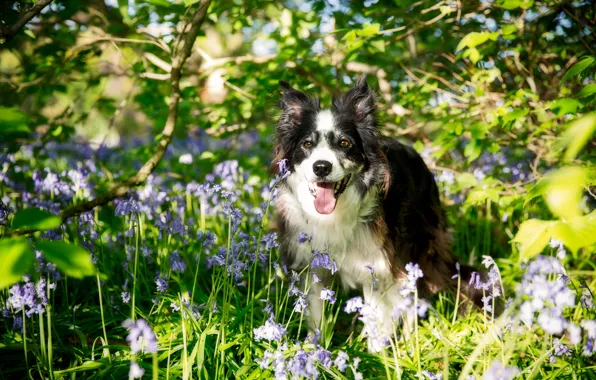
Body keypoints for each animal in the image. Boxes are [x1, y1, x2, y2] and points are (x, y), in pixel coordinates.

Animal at [272, 74, 482, 350]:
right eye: (307, 144)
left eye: (345, 143)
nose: (321, 167)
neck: (335, 215)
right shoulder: (311, 264)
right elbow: (316, 315)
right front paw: (313, 349)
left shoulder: (378, 266)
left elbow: (377, 315)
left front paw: (376, 354)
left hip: (416, 245)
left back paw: (410, 343)